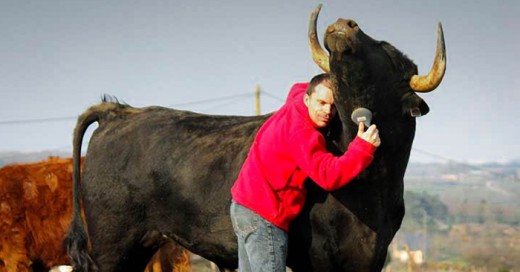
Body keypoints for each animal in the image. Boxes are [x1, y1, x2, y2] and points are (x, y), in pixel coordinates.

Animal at [66, 4, 446, 272]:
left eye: (390, 55)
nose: (344, 22)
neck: (372, 189)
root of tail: (121, 111)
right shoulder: (316, 257)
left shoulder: (372, 256)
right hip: (113, 245)